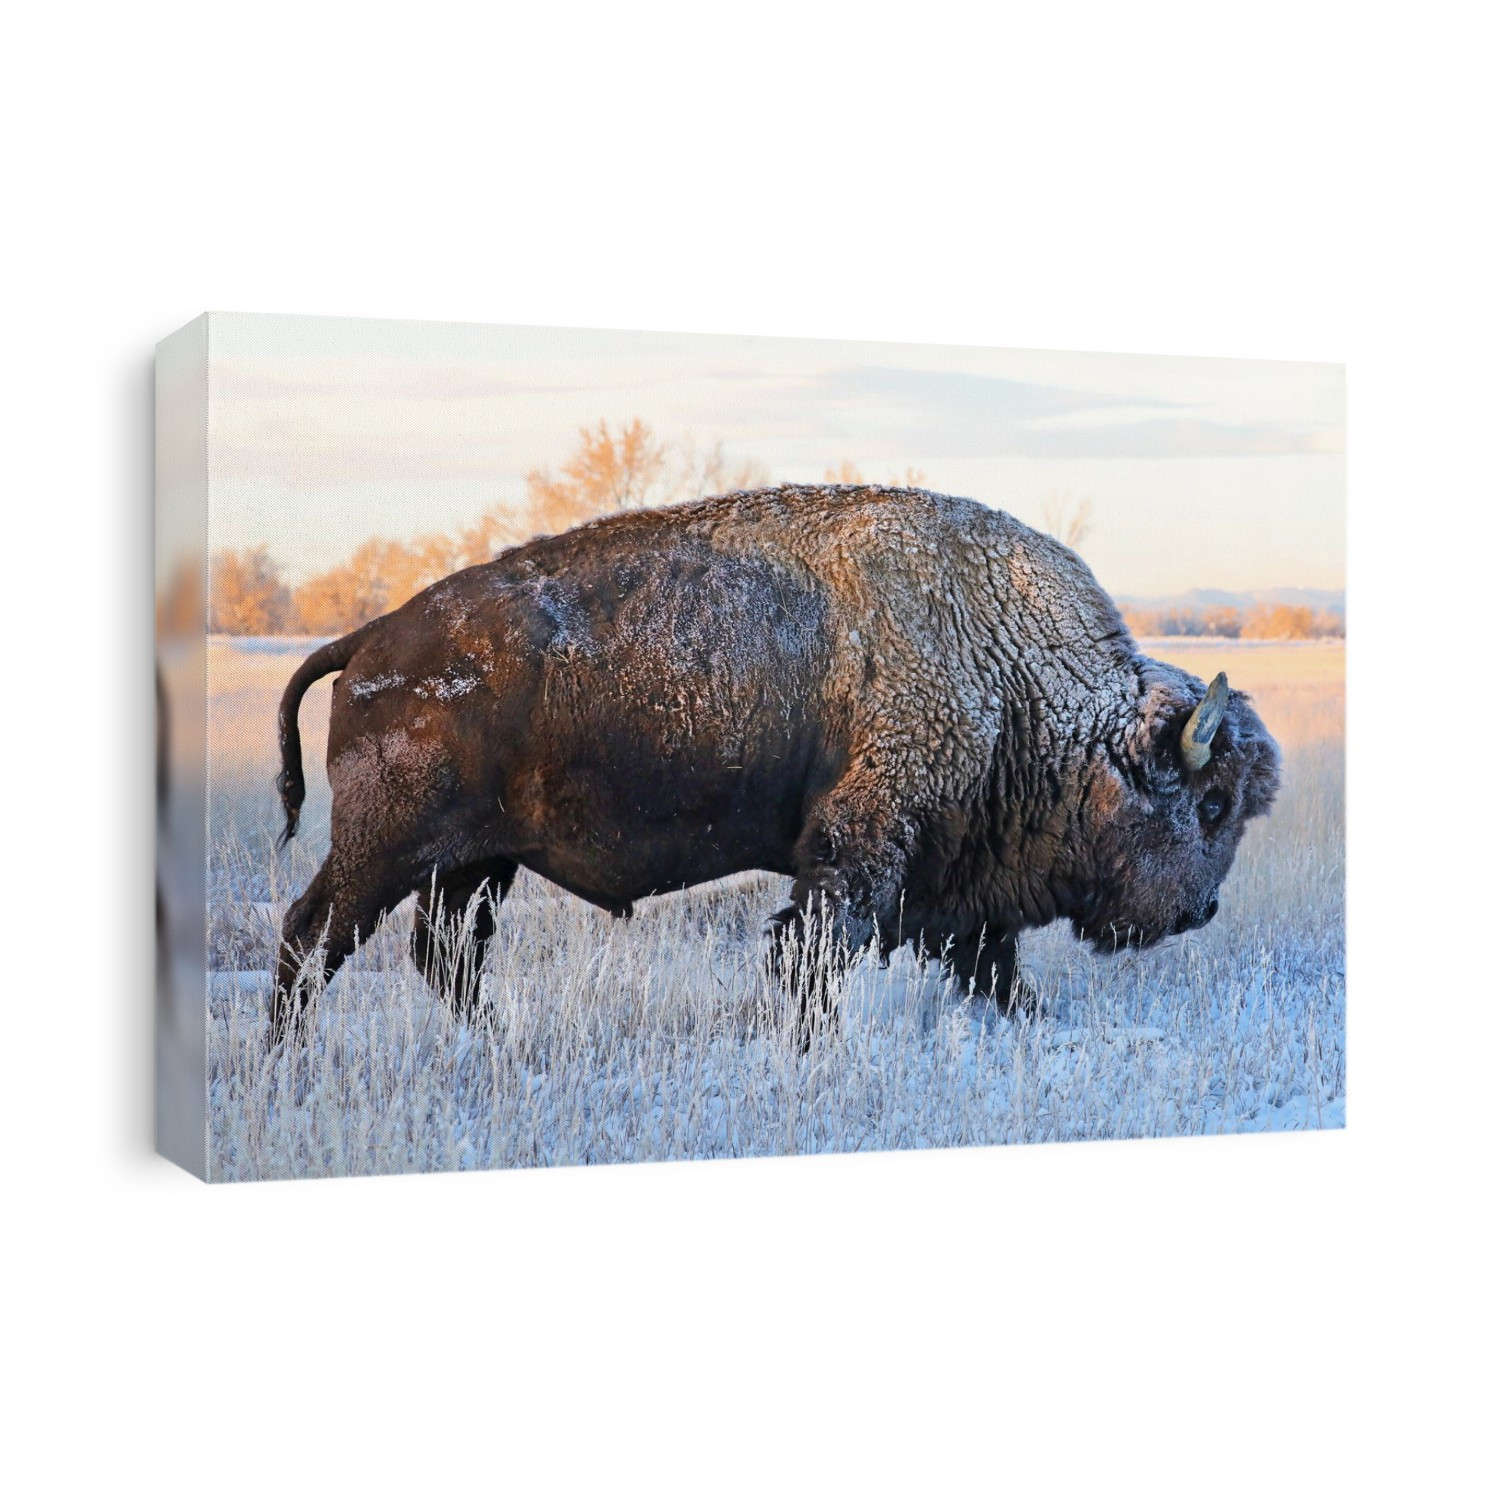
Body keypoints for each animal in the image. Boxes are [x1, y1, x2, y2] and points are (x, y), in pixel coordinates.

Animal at [271, 485, 1280, 1039]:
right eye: (1212, 803)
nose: (1201, 910)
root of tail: (372, 638)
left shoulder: (958, 893)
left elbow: (992, 972)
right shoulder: (862, 853)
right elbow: (816, 953)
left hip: (476, 864)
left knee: (446, 955)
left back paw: (496, 1041)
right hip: (385, 851)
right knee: (313, 934)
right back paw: (287, 1056)